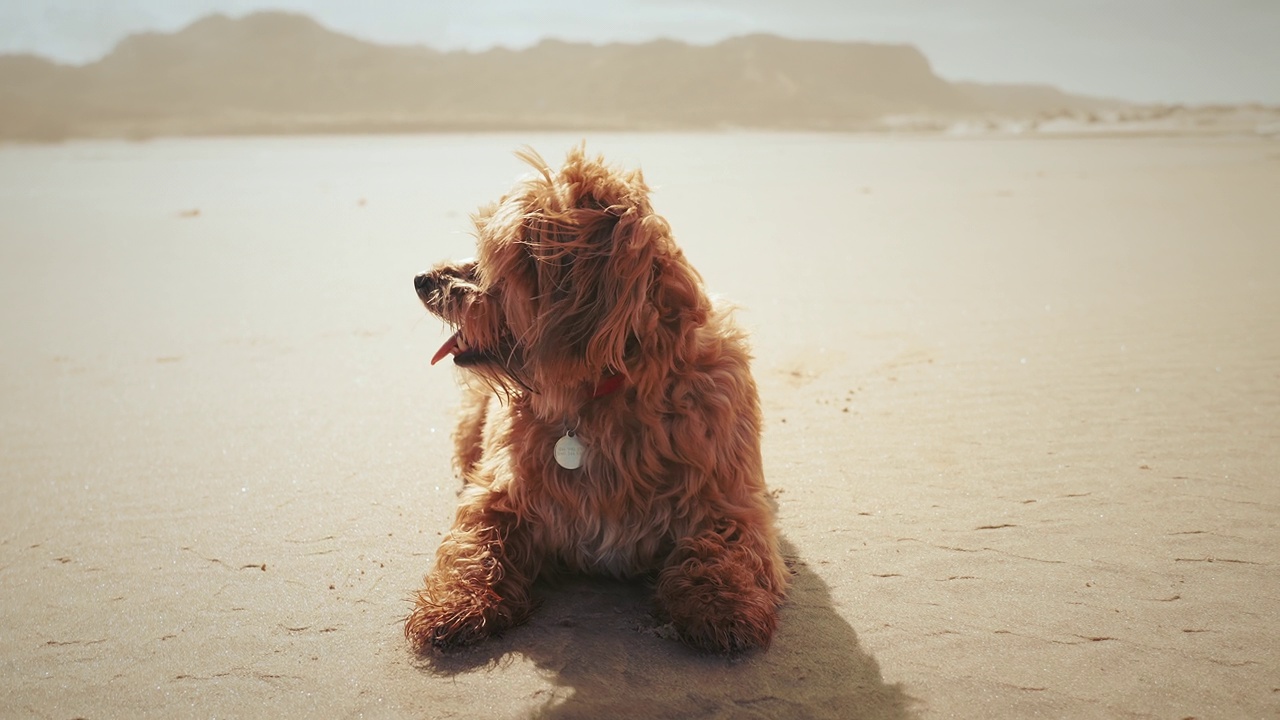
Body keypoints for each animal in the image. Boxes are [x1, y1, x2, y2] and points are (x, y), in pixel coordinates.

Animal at [407, 146, 788, 650]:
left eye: (494, 257)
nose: (422, 279)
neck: (598, 394)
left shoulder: (729, 501)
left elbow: (726, 544)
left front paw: (721, 604)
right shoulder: (498, 491)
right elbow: (474, 540)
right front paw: (454, 601)